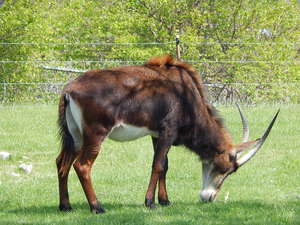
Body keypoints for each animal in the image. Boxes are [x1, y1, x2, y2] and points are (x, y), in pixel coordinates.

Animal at [55, 54, 278, 213]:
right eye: (226, 168)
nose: (208, 197)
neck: (187, 95)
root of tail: (69, 89)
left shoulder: (156, 134)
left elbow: (165, 166)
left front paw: (164, 200)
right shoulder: (167, 131)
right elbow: (158, 165)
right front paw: (150, 202)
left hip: (75, 136)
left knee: (61, 162)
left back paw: (65, 206)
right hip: (95, 135)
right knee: (82, 166)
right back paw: (97, 206)